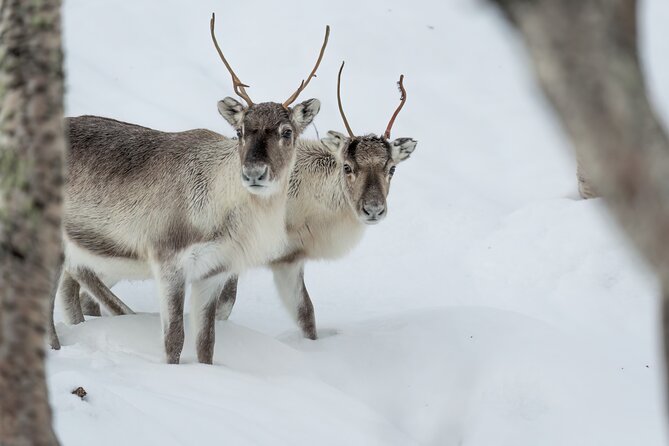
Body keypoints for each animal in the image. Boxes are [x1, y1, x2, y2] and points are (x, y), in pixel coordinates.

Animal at [47, 13, 329, 364]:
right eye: (240, 131)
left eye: (287, 131)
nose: (254, 172)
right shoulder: (168, 260)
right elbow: (174, 340)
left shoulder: (214, 273)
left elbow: (206, 343)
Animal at [69, 61, 418, 342]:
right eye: (348, 166)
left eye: (391, 168)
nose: (373, 209)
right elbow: (231, 306)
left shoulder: (288, 261)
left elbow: (306, 316)